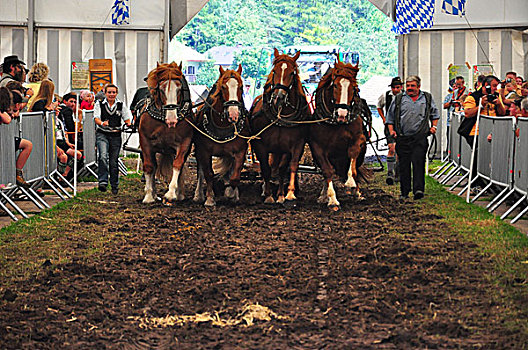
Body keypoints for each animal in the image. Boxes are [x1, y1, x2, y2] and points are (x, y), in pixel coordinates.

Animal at [138, 61, 194, 204]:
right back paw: (153, 194)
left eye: (179, 89)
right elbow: (149, 167)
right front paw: (148, 196)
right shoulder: (145, 142)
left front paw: (171, 193)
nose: (172, 119)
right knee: (153, 166)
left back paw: (179, 194)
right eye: (161, 89)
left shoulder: (185, 142)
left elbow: (178, 164)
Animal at [192, 65, 252, 206]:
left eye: (241, 87)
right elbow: (208, 174)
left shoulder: (240, 151)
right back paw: (198, 194)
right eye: (224, 87)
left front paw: (231, 193)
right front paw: (210, 199)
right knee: (200, 171)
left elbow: (235, 176)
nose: (234, 114)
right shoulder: (204, 151)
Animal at [250, 47, 312, 204]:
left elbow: (289, 167)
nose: (279, 97)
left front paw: (286, 194)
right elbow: (265, 168)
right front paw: (268, 195)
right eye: (274, 71)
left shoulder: (295, 144)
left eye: (292, 73)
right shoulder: (261, 145)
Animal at [310, 59, 368, 211]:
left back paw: (357, 192)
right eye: (335, 85)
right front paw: (332, 199)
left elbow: (352, 155)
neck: (338, 123)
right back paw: (324, 195)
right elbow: (327, 171)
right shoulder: (317, 147)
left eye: (354, 88)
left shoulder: (359, 138)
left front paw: (351, 182)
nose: (342, 114)